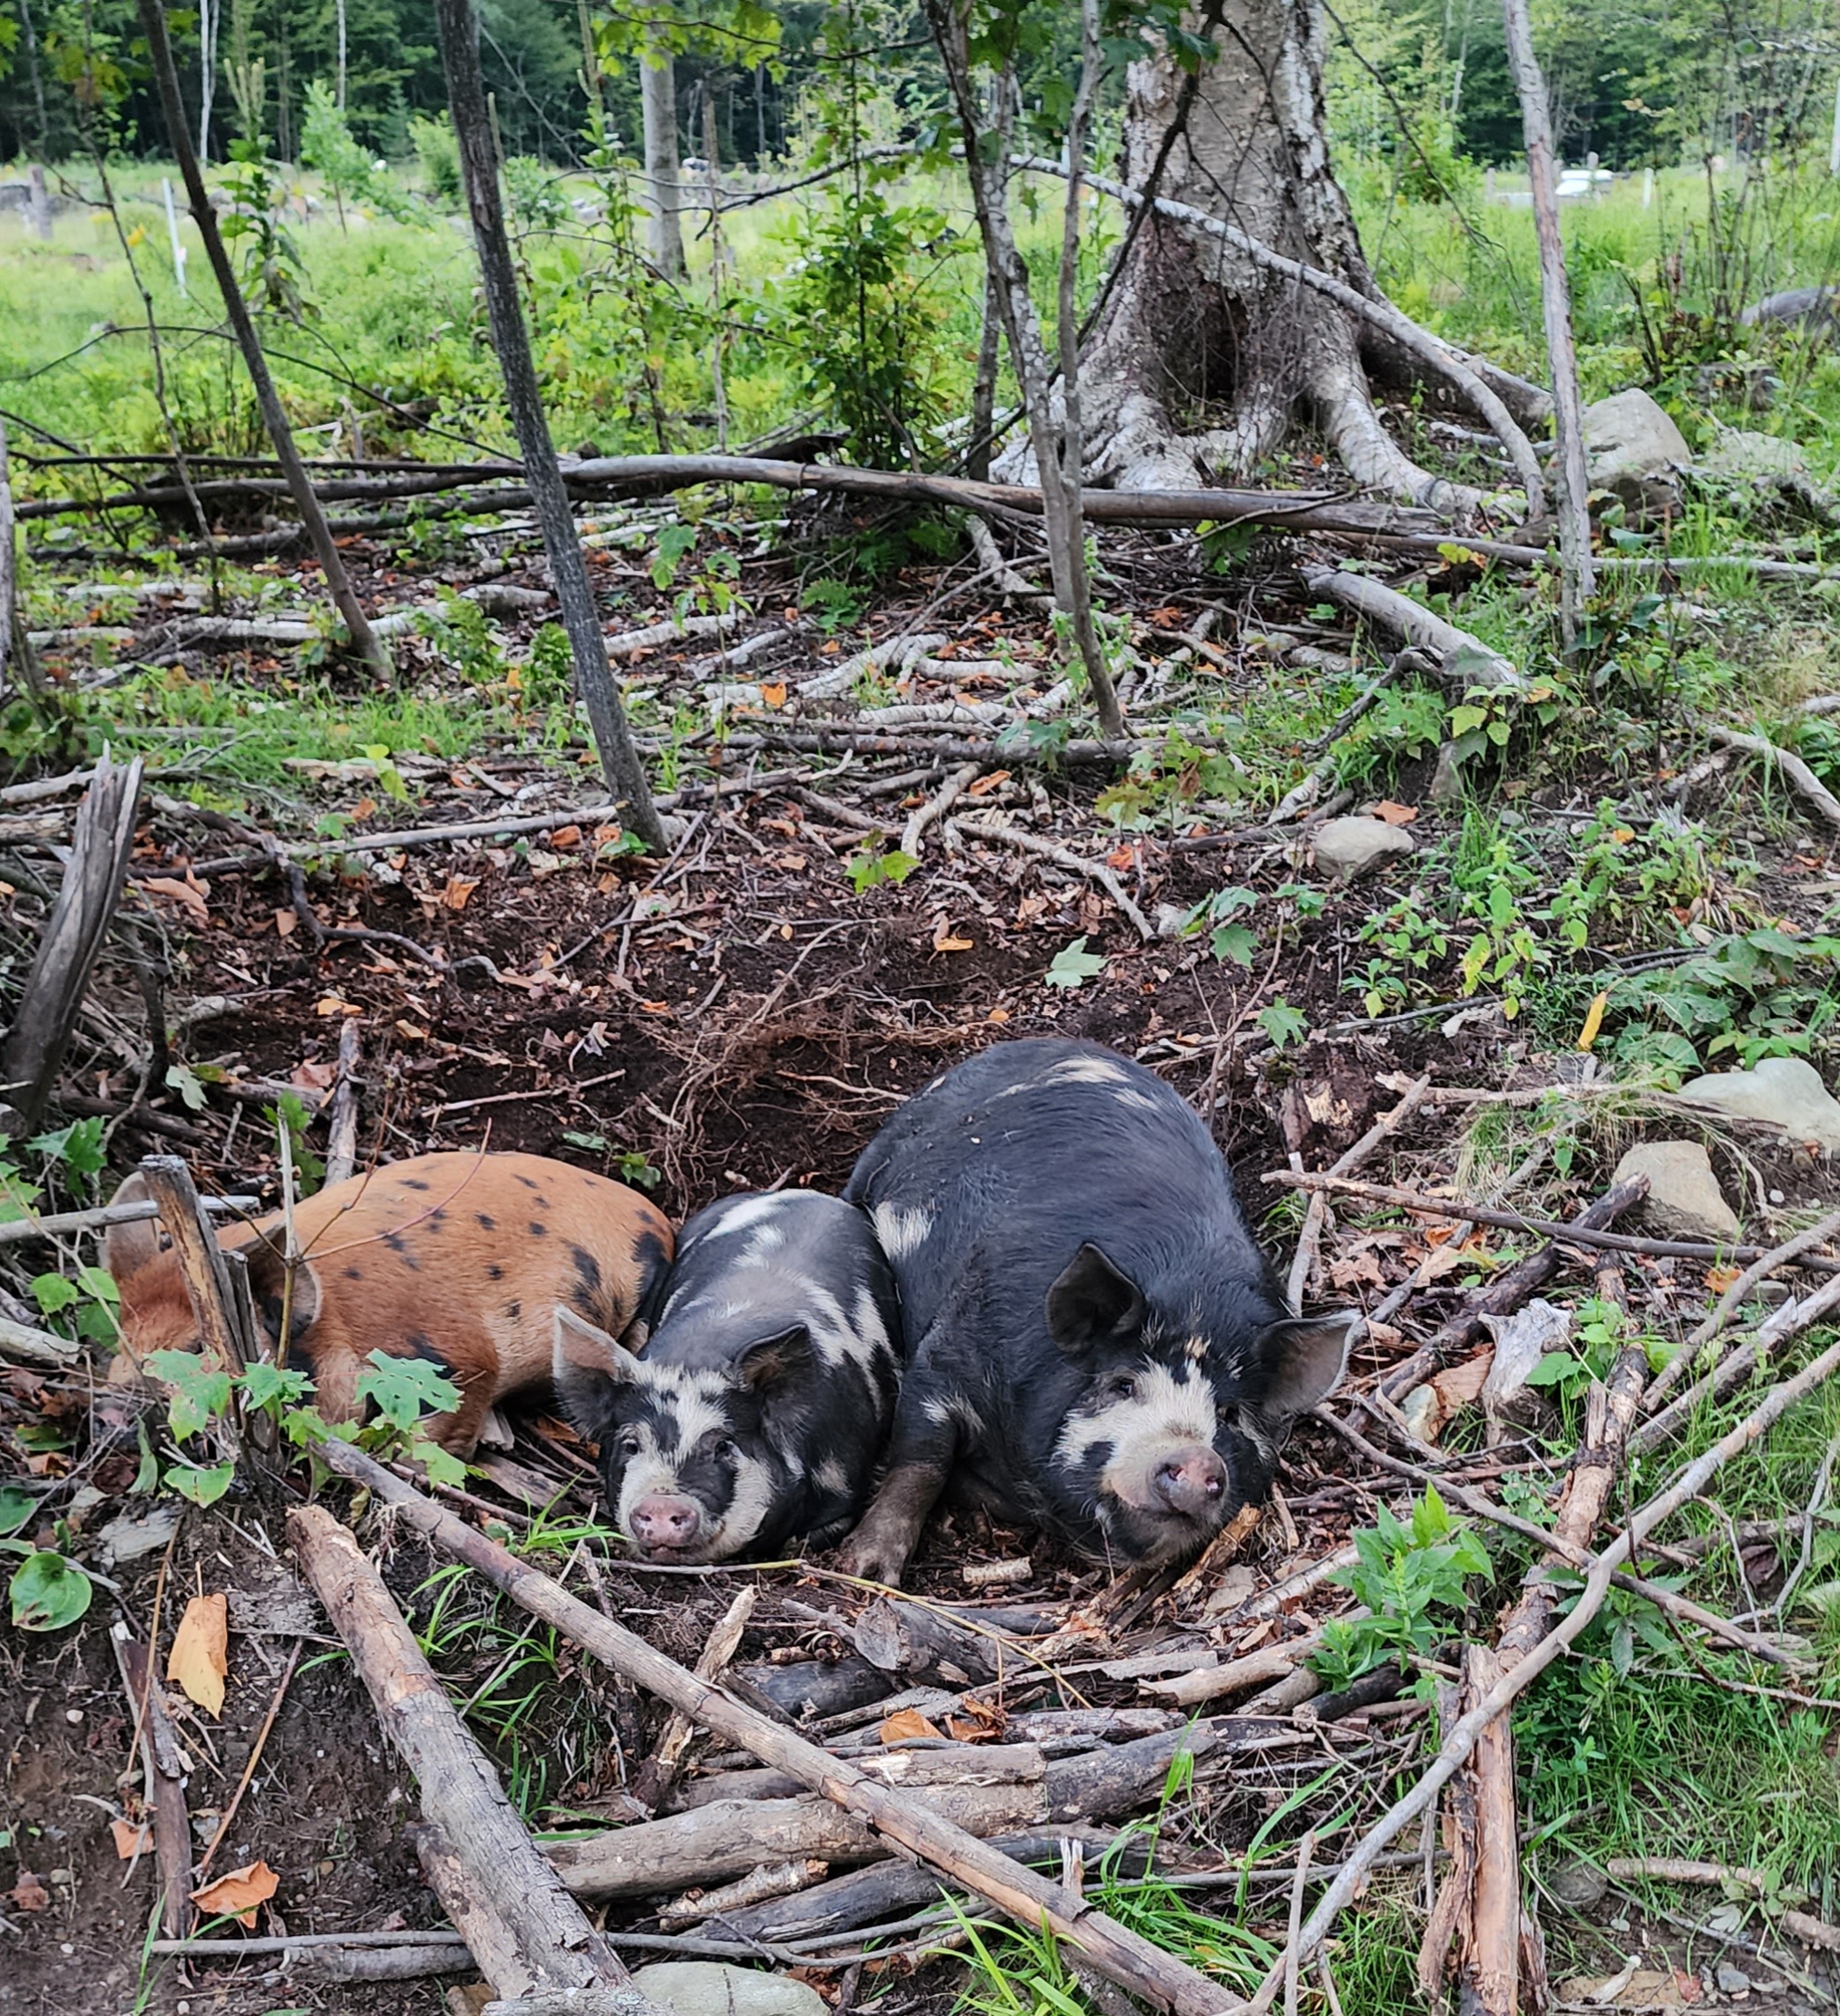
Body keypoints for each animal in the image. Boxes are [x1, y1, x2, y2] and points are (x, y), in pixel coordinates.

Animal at [105, 1152, 672, 1454]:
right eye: (120, 1345)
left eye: (196, 1346)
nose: (112, 1411)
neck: (336, 1320)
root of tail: (659, 1214)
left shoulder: (460, 1353)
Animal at [551, 1188, 902, 1564]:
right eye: (631, 1443)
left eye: (723, 1445)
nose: (662, 1503)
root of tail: (803, 1192)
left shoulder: (846, 1479)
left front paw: (793, 1545)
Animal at [835, 1039, 1354, 1586]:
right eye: (1122, 1384)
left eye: (1230, 1414)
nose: (1195, 1459)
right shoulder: (950, 1353)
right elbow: (919, 1457)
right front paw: (868, 1570)